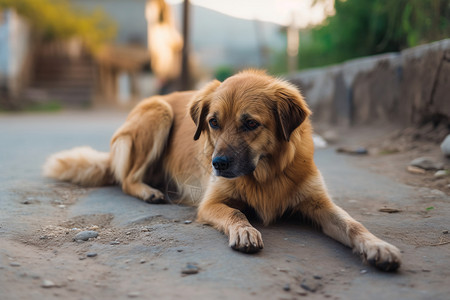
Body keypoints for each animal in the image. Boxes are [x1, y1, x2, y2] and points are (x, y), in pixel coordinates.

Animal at [43, 70, 400, 272]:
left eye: (251, 124)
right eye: (213, 122)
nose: (217, 164)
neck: (265, 175)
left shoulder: (319, 203)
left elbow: (353, 224)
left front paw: (377, 246)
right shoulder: (211, 203)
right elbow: (236, 213)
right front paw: (245, 231)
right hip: (158, 111)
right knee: (127, 179)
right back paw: (149, 191)